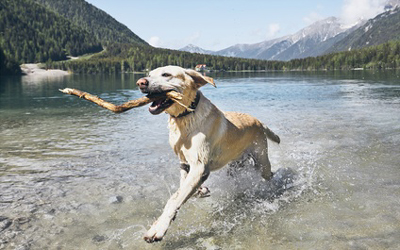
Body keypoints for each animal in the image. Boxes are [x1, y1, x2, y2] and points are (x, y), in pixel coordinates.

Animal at [136, 65, 280, 243]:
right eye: (149, 74)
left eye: (166, 74)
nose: (141, 82)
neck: (185, 118)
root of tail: (259, 122)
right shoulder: (184, 163)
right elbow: (180, 191)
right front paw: (200, 191)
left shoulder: (199, 167)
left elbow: (173, 200)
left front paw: (158, 229)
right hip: (235, 166)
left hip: (262, 160)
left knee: (269, 173)